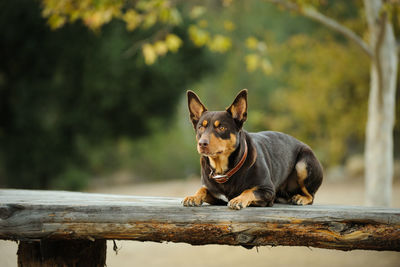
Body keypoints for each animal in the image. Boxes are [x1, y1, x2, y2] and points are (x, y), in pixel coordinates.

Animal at [181, 90, 322, 211]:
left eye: (221, 127)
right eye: (201, 127)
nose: (202, 143)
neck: (224, 170)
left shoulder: (267, 190)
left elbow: (249, 190)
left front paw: (238, 199)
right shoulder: (217, 197)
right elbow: (203, 189)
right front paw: (193, 197)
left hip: (303, 164)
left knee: (311, 196)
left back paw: (300, 198)